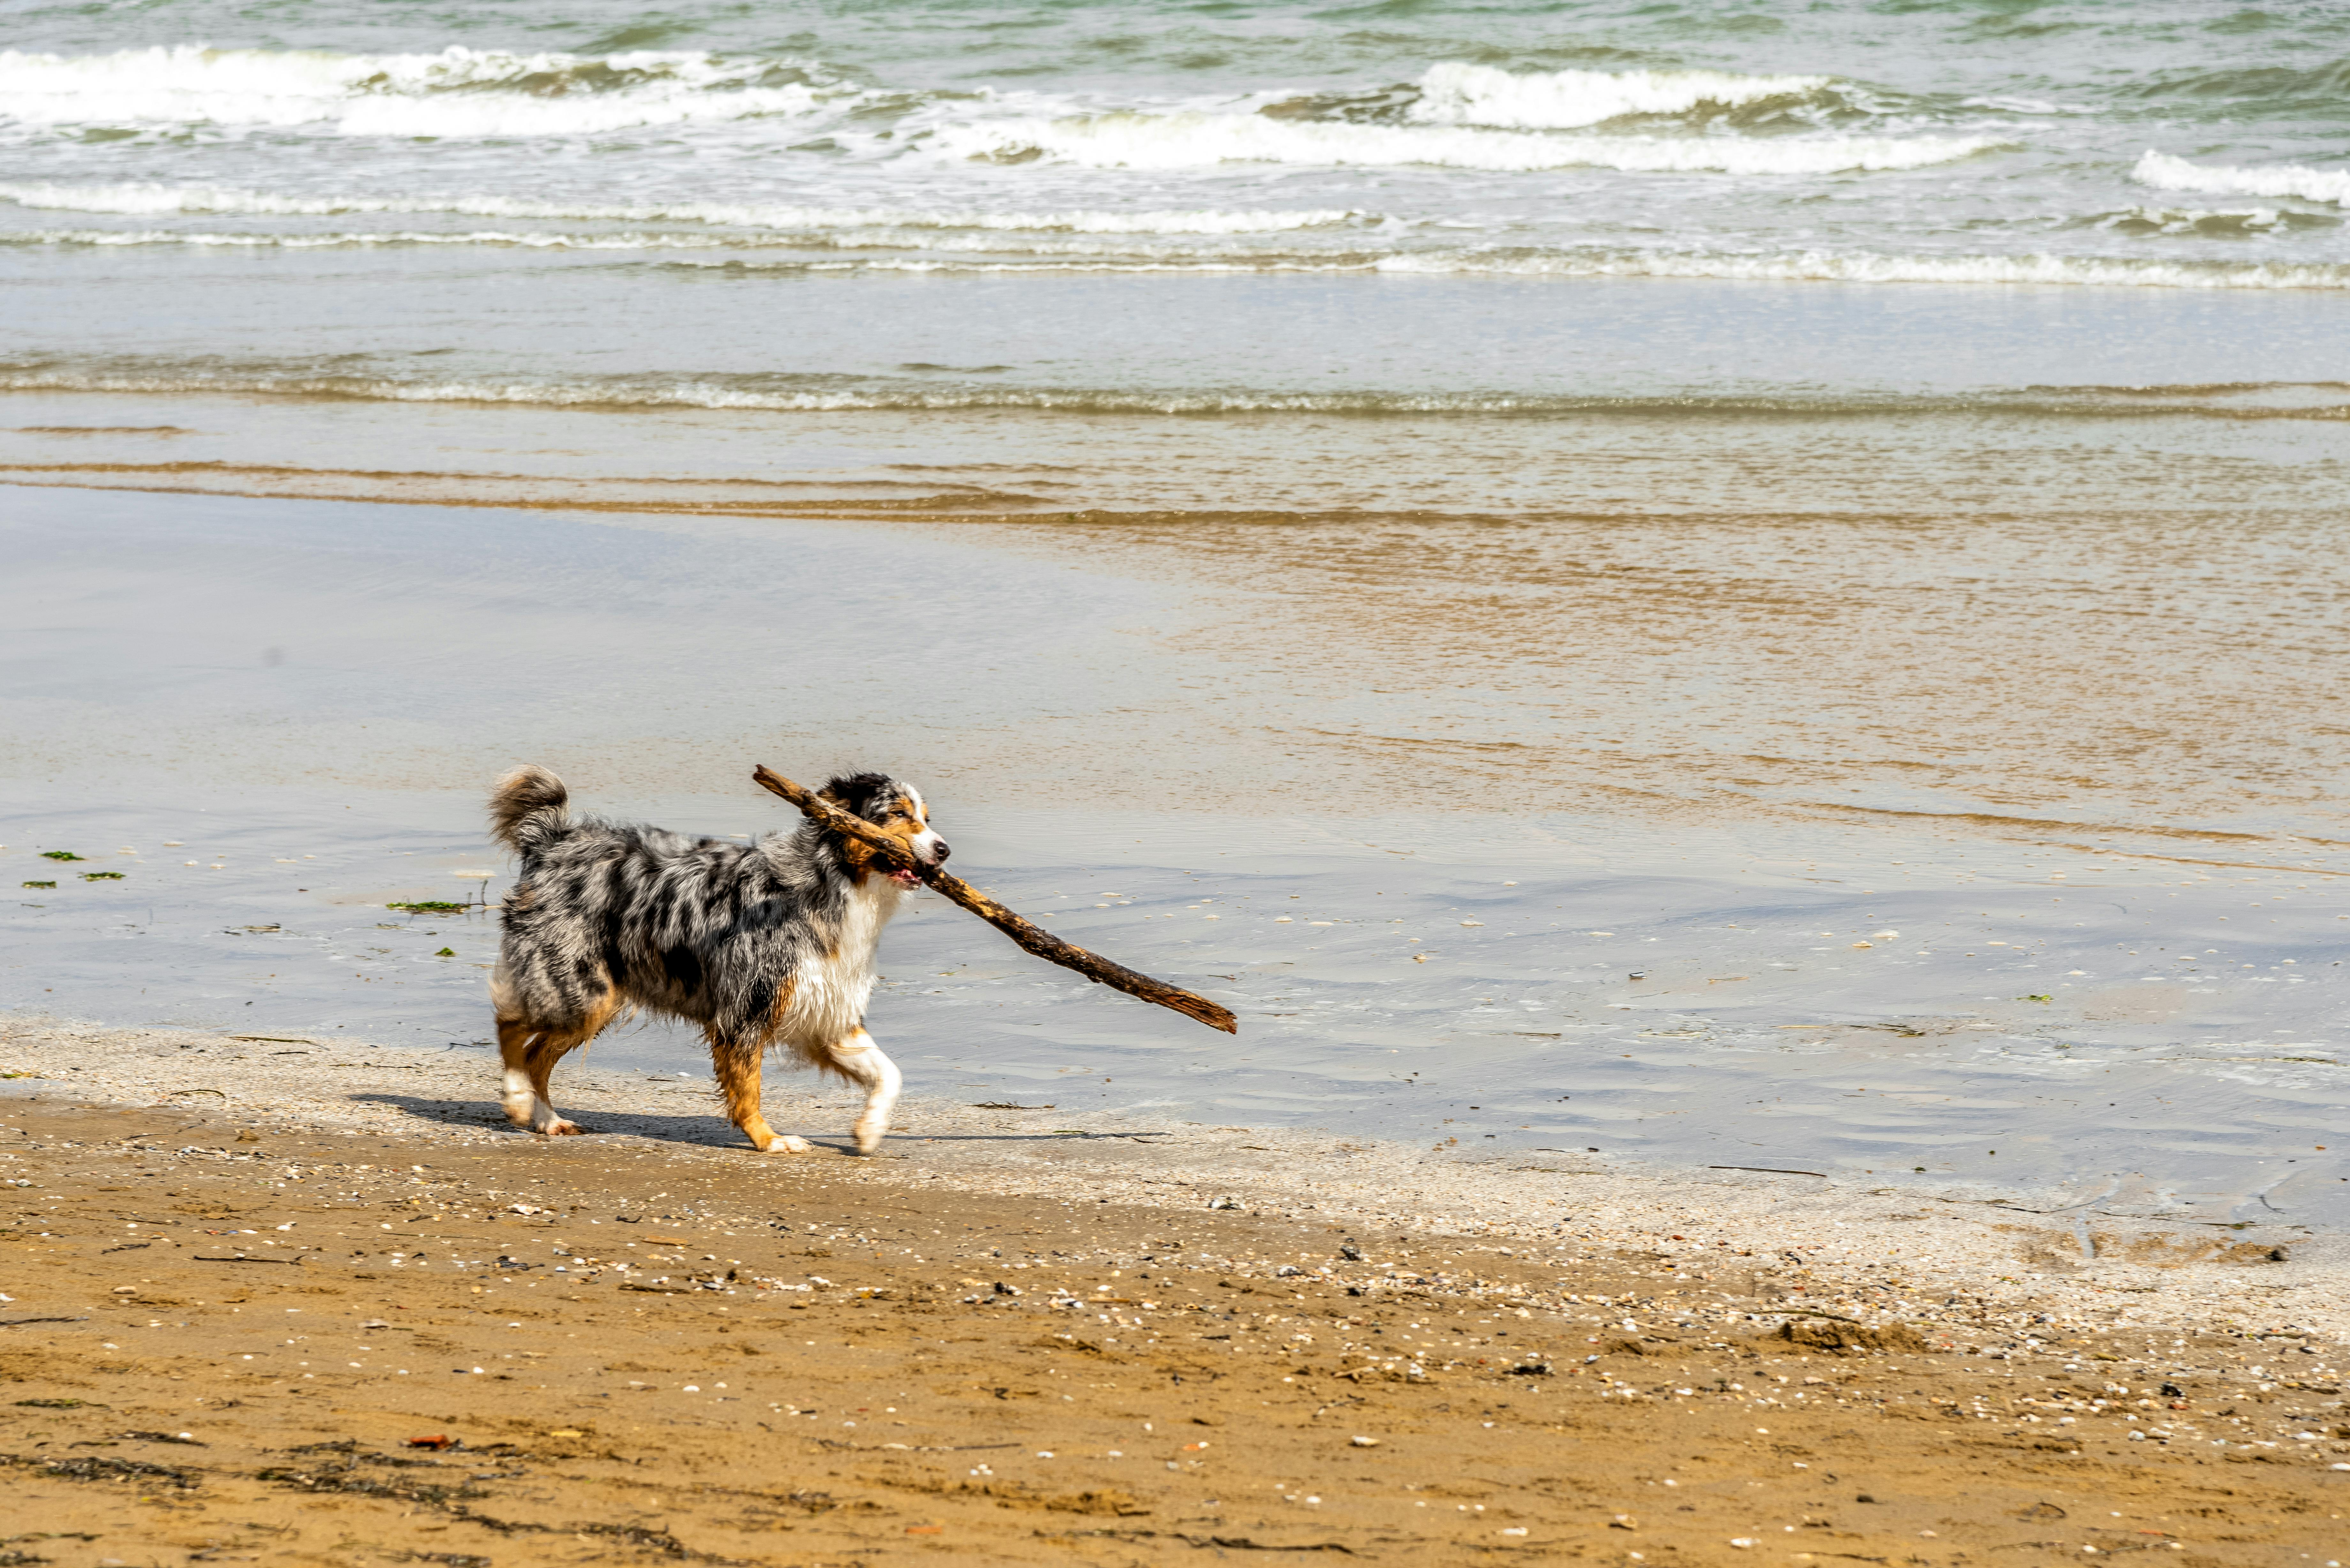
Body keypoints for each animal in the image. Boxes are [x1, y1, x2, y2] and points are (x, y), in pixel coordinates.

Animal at [481, 766, 949, 1161]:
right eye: (896, 813)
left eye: (925, 817)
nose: (943, 850)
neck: (832, 882)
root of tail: (553, 840)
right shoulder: (747, 1009)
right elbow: (748, 1091)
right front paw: (769, 1140)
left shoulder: (826, 1012)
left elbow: (890, 1073)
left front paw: (870, 1130)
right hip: (581, 990)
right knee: (510, 1024)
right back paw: (517, 1098)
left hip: (595, 996)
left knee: (536, 1053)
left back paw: (547, 1120)